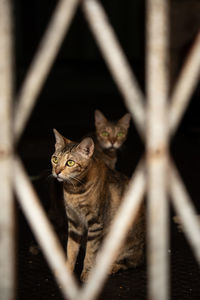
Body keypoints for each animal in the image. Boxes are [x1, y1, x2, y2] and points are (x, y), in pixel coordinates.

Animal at [51, 128, 145, 282]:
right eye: (55, 159)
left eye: (70, 163)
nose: (57, 171)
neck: (74, 191)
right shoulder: (74, 221)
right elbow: (71, 248)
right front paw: (67, 270)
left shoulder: (95, 223)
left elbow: (90, 252)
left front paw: (87, 273)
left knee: (133, 262)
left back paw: (111, 267)